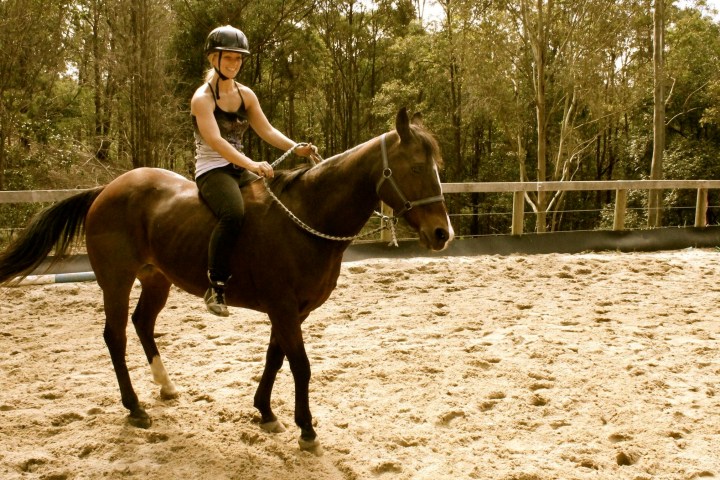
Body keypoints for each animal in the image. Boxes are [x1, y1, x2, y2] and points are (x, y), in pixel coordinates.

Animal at [0, 108, 453, 450]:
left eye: (436, 167)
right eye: (416, 167)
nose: (442, 234)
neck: (306, 216)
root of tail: (107, 189)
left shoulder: (293, 311)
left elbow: (275, 358)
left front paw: (265, 412)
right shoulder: (284, 309)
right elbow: (300, 365)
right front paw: (306, 429)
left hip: (156, 278)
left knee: (142, 324)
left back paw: (166, 388)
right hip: (116, 279)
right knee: (115, 336)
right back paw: (135, 407)